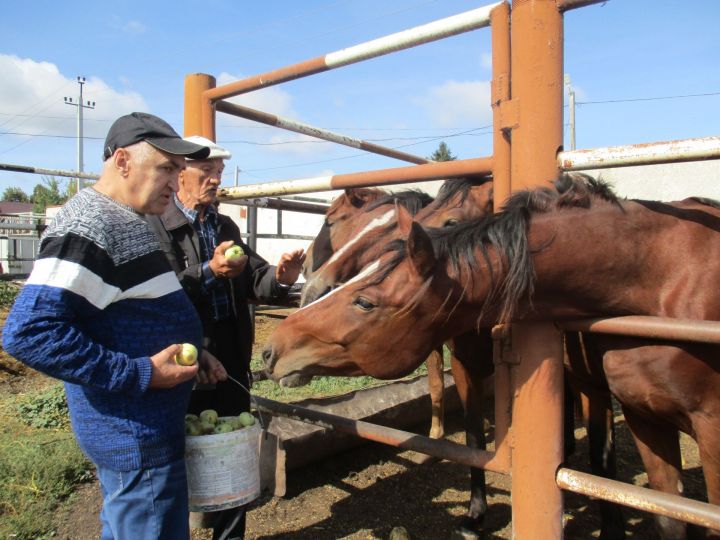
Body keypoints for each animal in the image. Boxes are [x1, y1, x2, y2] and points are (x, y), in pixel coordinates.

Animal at [264, 175, 720, 536]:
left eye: (364, 302)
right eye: (341, 224)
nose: (272, 347)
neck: (655, 273)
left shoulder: (615, 394)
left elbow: (604, 461)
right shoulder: (467, 366)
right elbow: (473, 438)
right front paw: (475, 513)